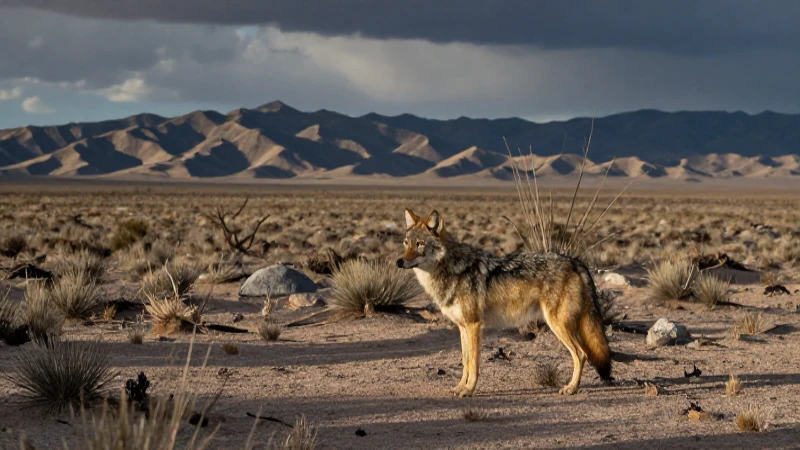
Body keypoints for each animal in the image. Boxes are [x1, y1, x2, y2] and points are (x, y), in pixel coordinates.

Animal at [396, 208, 612, 397]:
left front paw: (469, 390)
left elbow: (473, 363)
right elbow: (465, 362)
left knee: (582, 354)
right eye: (406, 243)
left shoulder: (474, 325)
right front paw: (460, 387)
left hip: (558, 325)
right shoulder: (463, 327)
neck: (451, 270)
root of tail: (576, 261)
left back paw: (571, 388)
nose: (399, 262)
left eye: (420, 244)